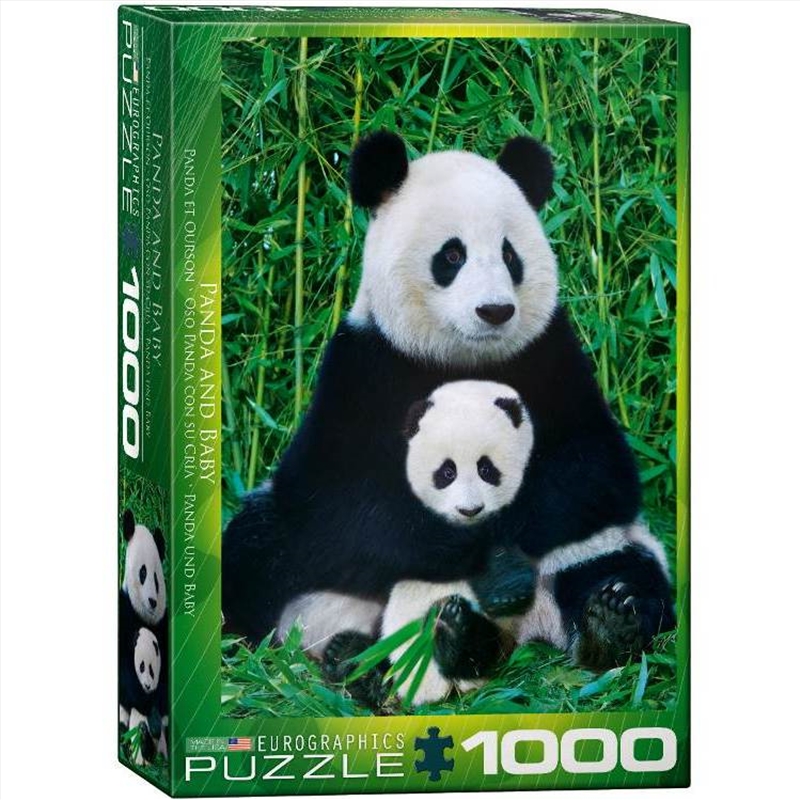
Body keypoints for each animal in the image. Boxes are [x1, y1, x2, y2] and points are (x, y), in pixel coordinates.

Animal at [222, 131, 674, 697]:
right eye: (452, 255)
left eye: (509, 255)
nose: (495, 311)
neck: (461, 358)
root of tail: (524, 634)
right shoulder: (362, 368)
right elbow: (341, 502)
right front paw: (482, 556)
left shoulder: (552, 356)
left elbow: (594, 470)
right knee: (256, 552)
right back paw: (364, 659)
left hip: (602, 548)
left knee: (623, 570)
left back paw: (605, 624)